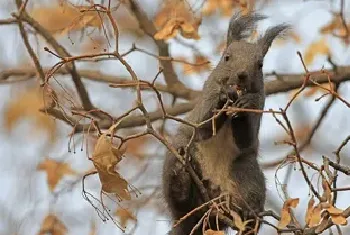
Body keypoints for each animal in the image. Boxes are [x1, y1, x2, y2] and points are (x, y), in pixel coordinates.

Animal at [161, 13, 288, 235]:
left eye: (260, 64)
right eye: (226, 57)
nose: (242, 75)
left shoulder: (259, 105)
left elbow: (246, 140)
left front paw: (244, 105)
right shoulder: (205, 101)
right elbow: (203, 129)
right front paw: (222, 98)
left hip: (246, 171)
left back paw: (247, 215)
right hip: (178, 154)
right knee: (179, 201)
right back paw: (181, 182)